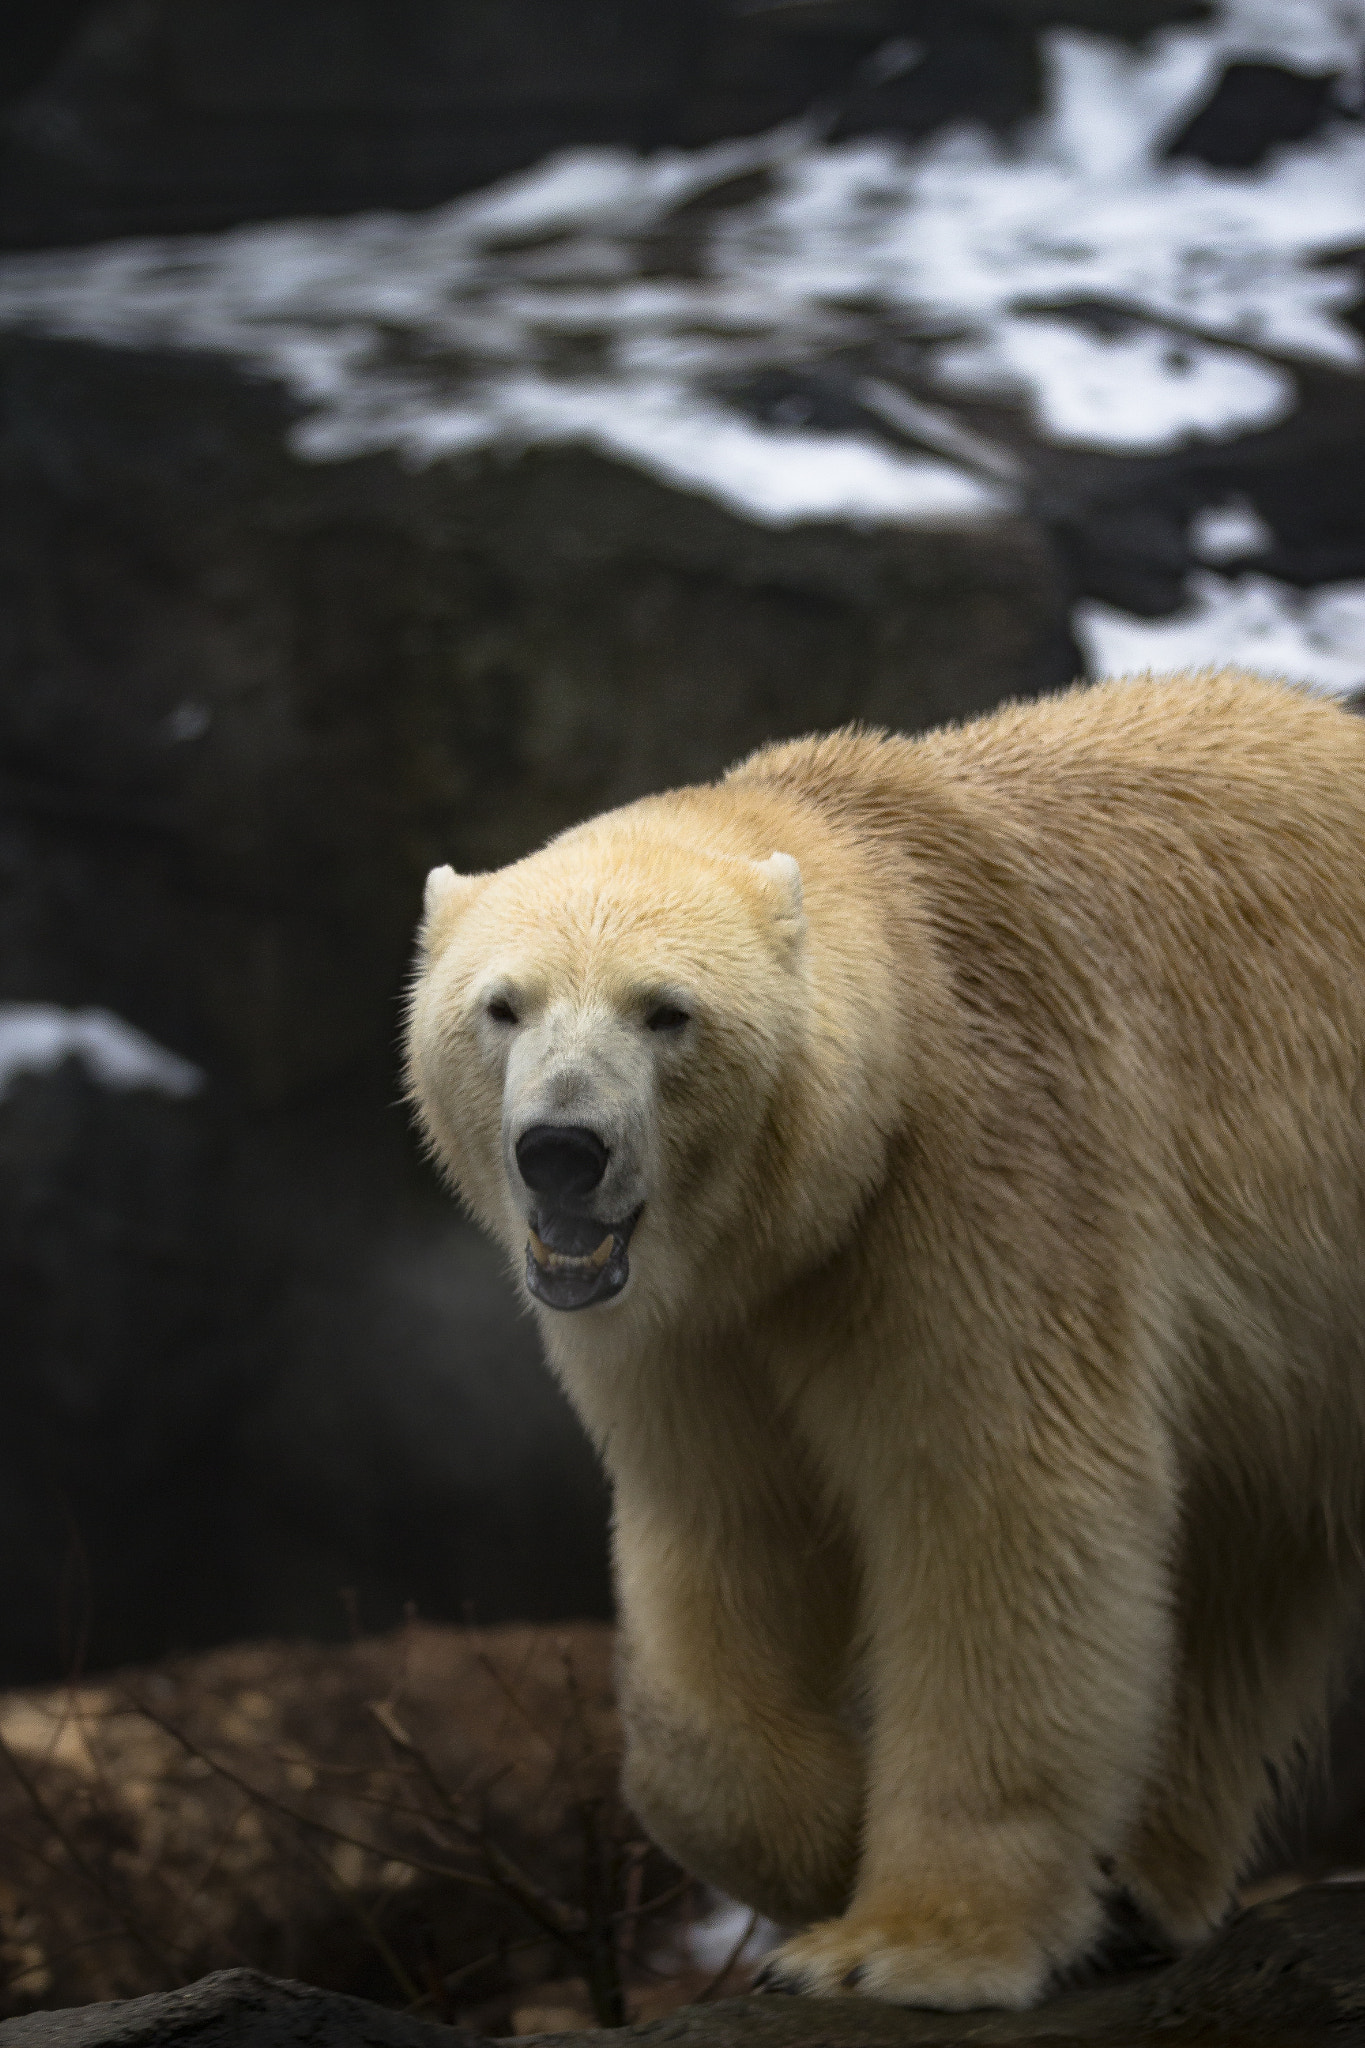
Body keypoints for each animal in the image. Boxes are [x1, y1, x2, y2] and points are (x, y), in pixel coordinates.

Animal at [404, 670, 1365, 2009]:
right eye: (502, 1004)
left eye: (667, 1012)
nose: (561, 1148)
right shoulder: (697, 1324)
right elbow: (726, 1527)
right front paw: (820, 1839)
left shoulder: (988, 1173)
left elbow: (1002, 1509)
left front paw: (901, 1942)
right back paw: (1139, 1880)